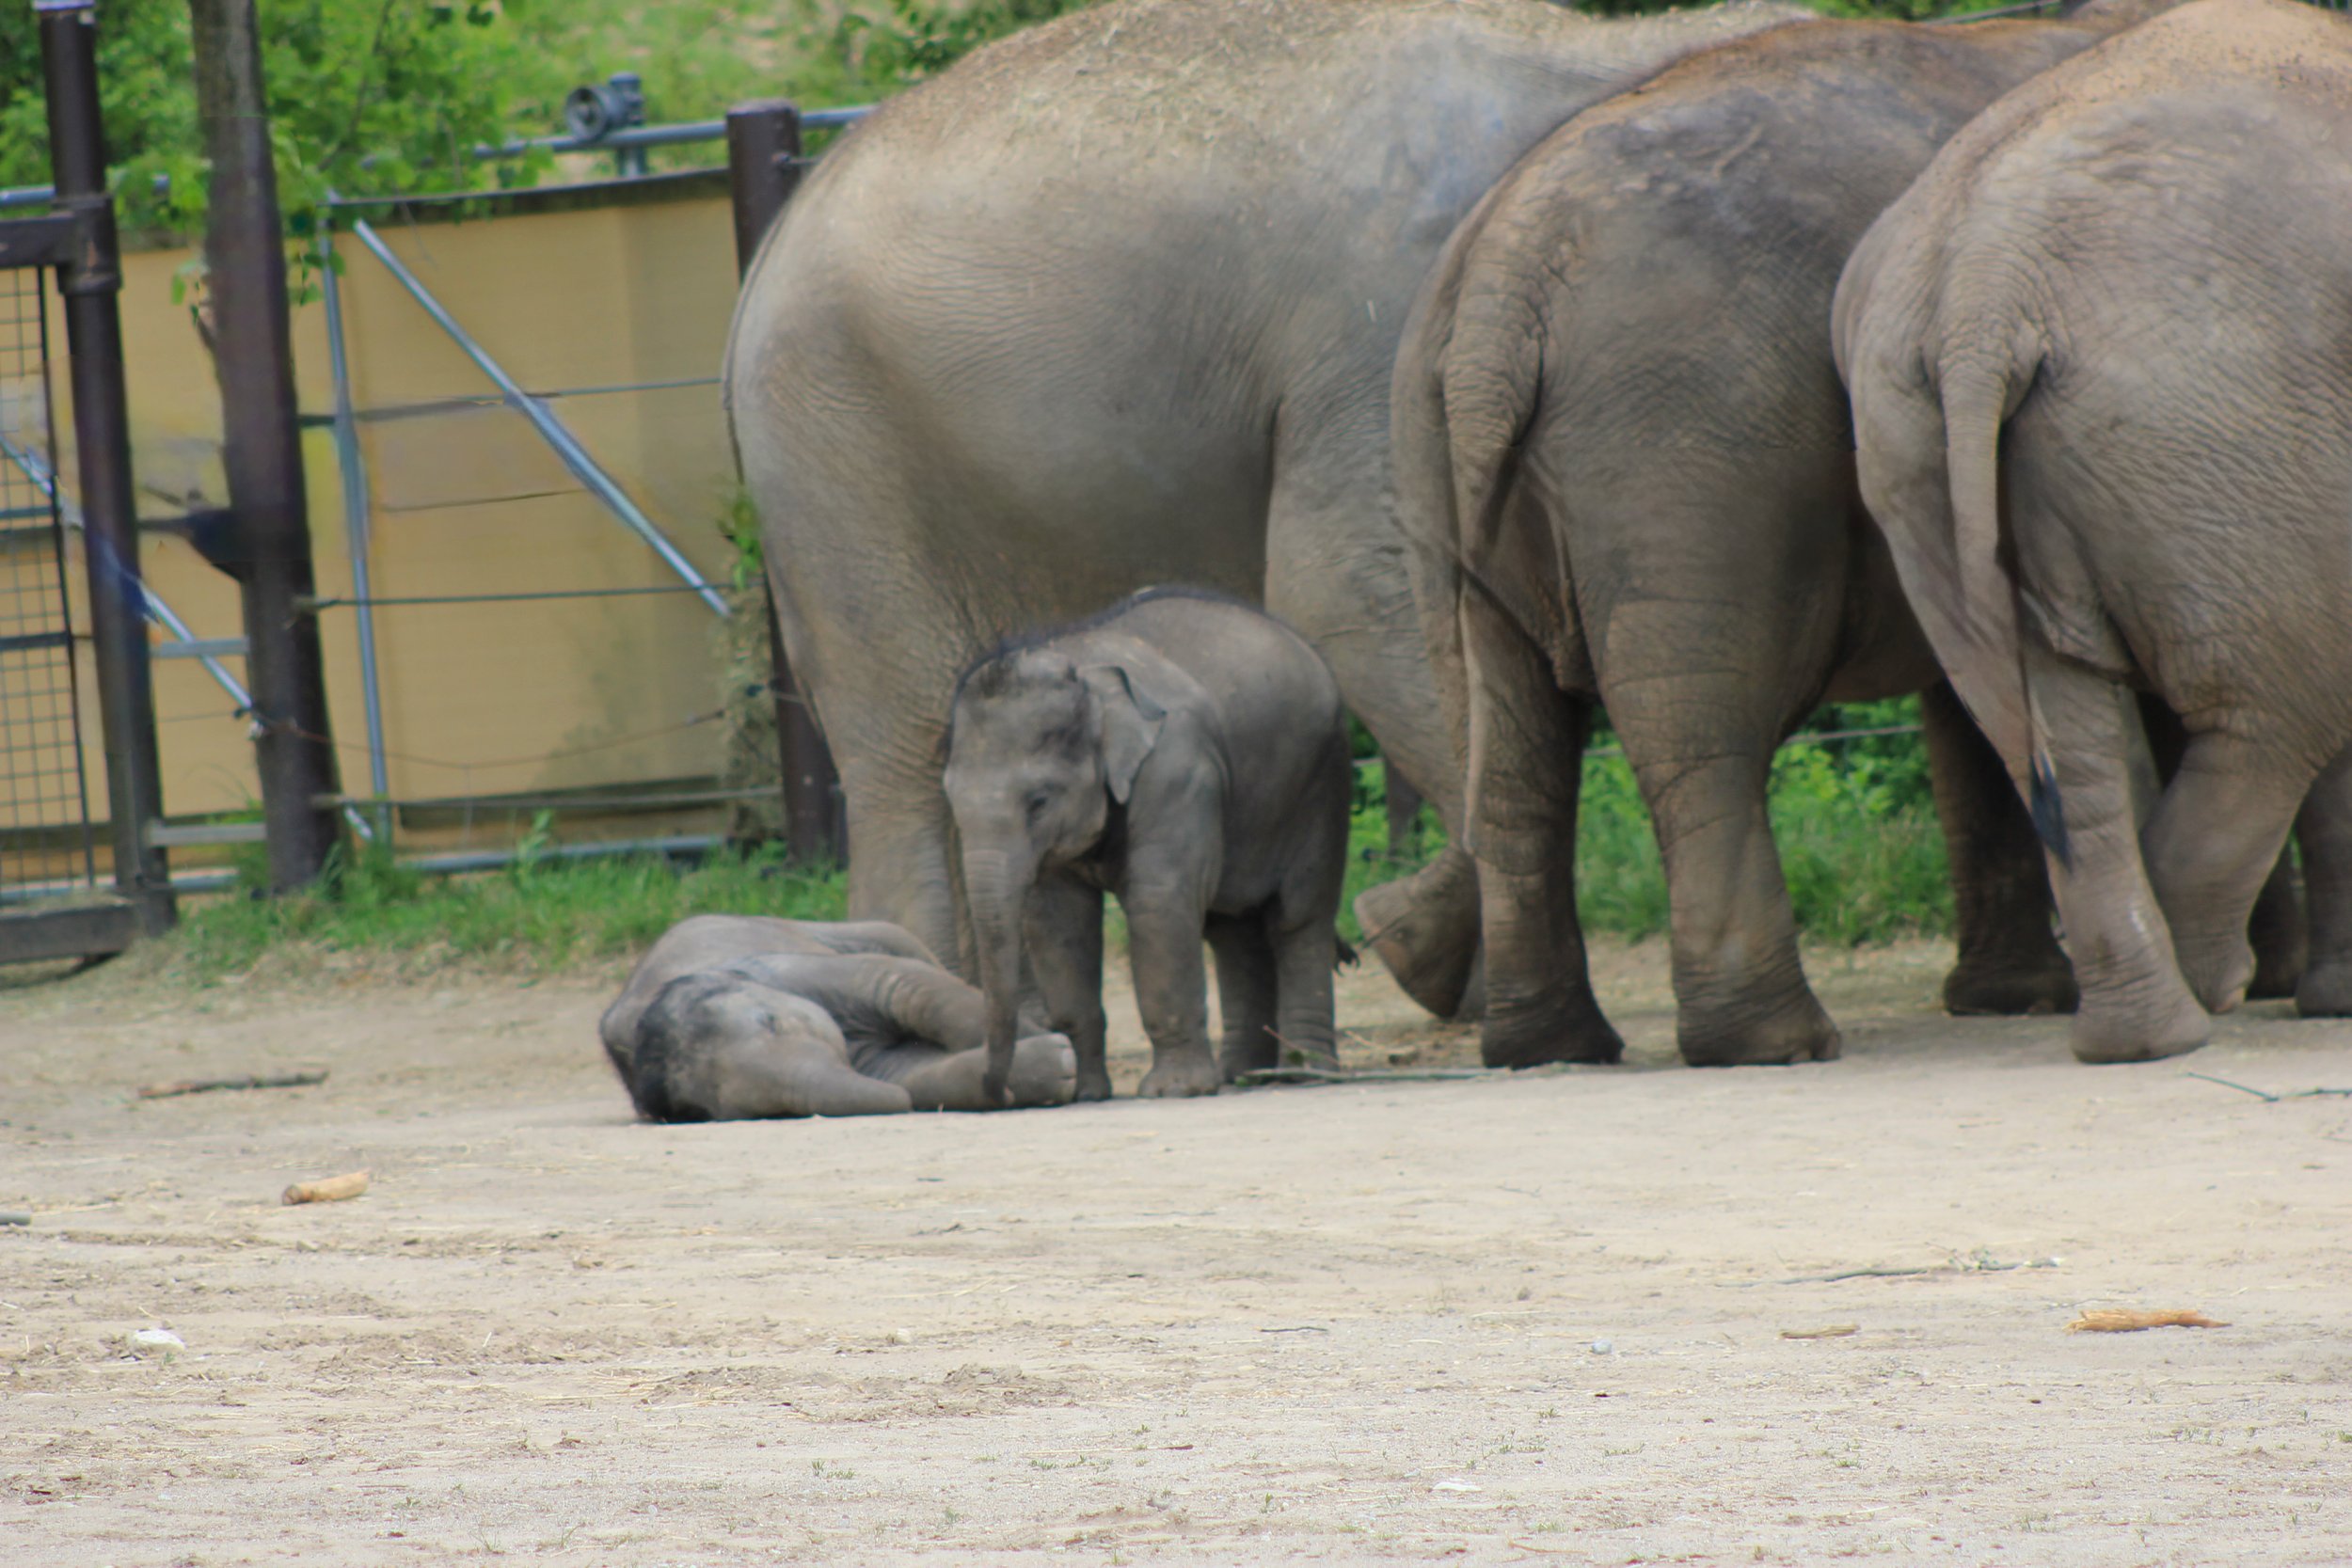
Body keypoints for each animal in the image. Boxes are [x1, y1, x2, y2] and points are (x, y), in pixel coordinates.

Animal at [601, 915, 1076, 1118]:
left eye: (771, 1022)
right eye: (762, 1110)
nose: (904, 1108)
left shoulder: (798, 970)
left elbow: (900, 984)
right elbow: (910, 1072)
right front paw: (1056, 1066)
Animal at [724, 0, 1815, 1019]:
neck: (1612, 52)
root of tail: (761, 259)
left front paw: (1417, 941)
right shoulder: (1380, 314)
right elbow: (1347, 596)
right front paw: (1427, 953)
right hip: (836, 457)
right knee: (901, 748)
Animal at [944, 588, 1352, 1103]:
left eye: (1039, 801)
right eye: (951, 798)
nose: (1001, 1095)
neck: (1080, 665)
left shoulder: (1178, 770)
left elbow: (1160, 901)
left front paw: (1174, 1091)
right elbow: (1058, 924)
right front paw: (1086, 1095)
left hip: (1320, 785)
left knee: (1298, 917)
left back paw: (1304, 1074)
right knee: (1232, 929)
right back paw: (1240, 1075)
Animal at [1390, 1, 2186, 1068]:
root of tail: (1498, 293)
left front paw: (2011, 1000)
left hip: (1438, 459)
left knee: (1509, 741)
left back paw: (1549, 1044)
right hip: (1683, 446)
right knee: (1700, 737)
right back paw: (1776, 1041)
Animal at [1834, 0, 2352, 1062]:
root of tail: (1983, 283)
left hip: (1907, 444)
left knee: (2051, 733)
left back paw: (2145, 1032)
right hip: (2221, 429)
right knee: (2277, 714)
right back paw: (2201, 994)